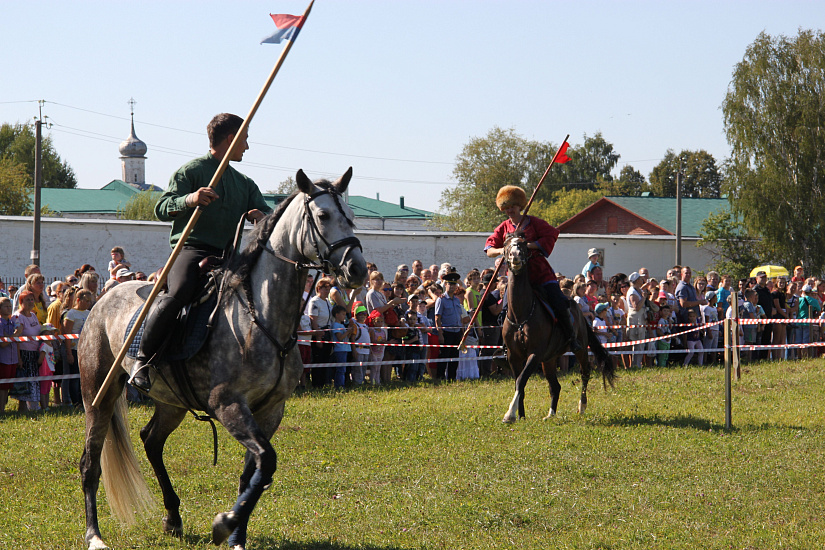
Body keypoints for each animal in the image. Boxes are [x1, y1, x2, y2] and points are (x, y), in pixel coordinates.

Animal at [78, 169, 366, 550]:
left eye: (350, 215)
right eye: (323, 216)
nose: (357, 269)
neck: (259, 315)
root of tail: (102, 300)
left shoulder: (270, 410)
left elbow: (254, 472)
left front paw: (236, 535)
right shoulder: (228, 405)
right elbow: (266, 461)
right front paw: (225, 523)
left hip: (171, 402)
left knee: (152, 440)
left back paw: (173, 518)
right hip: (98, 395)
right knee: (90, 464)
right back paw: (94, 535)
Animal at [496, 235, 612, 424]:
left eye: (523, 244)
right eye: (506, 245)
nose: (515, 256)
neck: (521, 315)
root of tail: (578, 309)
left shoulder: (534, 354)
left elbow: (521, 380)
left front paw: (510, 414)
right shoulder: (514, 356)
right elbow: (519, 382)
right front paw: (520, 415)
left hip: (579, 350)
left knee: (585, 373)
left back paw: (582, 406)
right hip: (549, 360)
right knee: (555, 386)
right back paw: (551, 413)